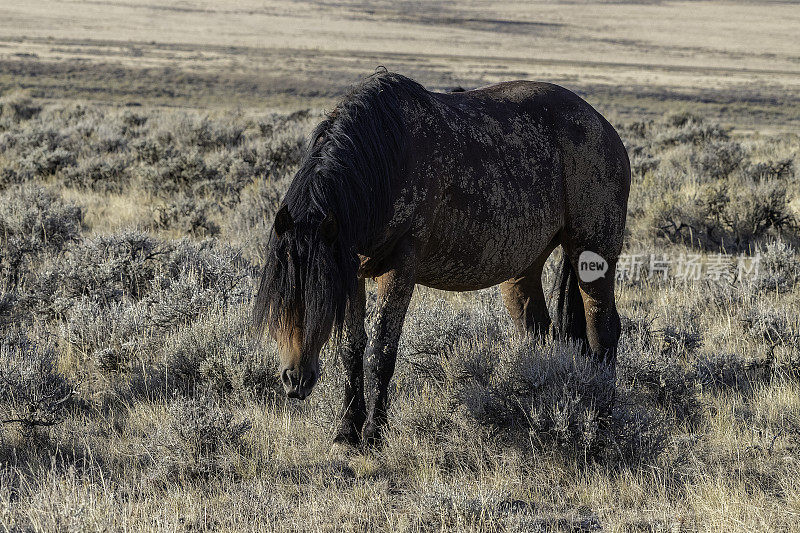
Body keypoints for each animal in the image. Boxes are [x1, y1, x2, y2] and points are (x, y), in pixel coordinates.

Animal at [253, 71, 628, 444]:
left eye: (322, 298)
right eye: (280, 298)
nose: (294, 380)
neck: (384, 161)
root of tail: (603, 126)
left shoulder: (399, 269)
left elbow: (380, 353)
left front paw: (373, 434)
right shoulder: (353, 274)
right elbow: (352, 350)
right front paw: (346, 432)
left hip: (592, 257)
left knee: (603, 330)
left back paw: (602, 413)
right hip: (523, 269)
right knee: (535, 330)